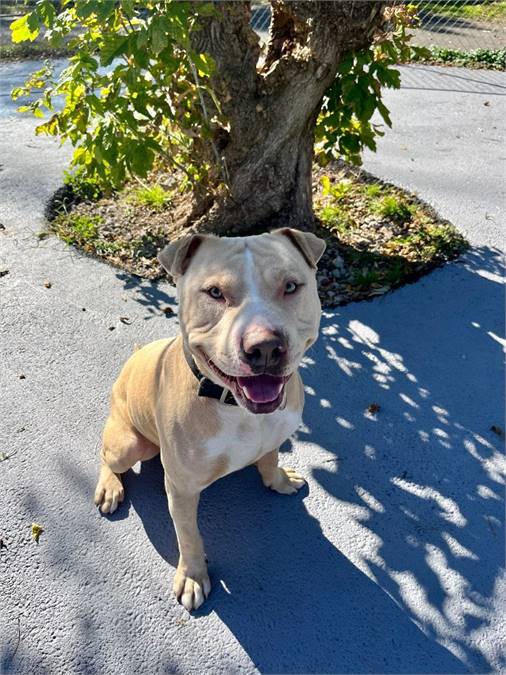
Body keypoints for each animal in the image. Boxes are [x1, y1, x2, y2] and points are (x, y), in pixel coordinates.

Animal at [94, 227, 324, 612]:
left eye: (291, 286)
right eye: (215, 292)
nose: (265, 348)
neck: (237, 409)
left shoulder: (274, 437)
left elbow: (269, 458)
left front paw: (277, 479)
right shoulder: (182, 489)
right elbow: (189, 537)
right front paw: (192, 576)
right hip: (129, 443)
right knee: (107, 457)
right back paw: (110, 486)